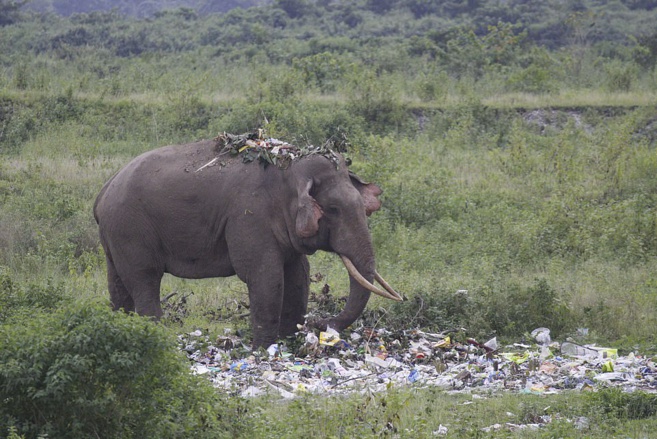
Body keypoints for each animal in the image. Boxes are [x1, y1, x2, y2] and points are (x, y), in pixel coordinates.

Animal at [93, 136, 401, 347]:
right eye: (334, 210)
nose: (321, 323)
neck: (288, 167)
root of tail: (104, 190)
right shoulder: (249, 215)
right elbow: (265, 275)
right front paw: (264, 349)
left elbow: (298, 275)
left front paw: (287, 342)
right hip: (130, 228)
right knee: (144, 280)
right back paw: (156, 337)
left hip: (114, 234)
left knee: (118, 284)